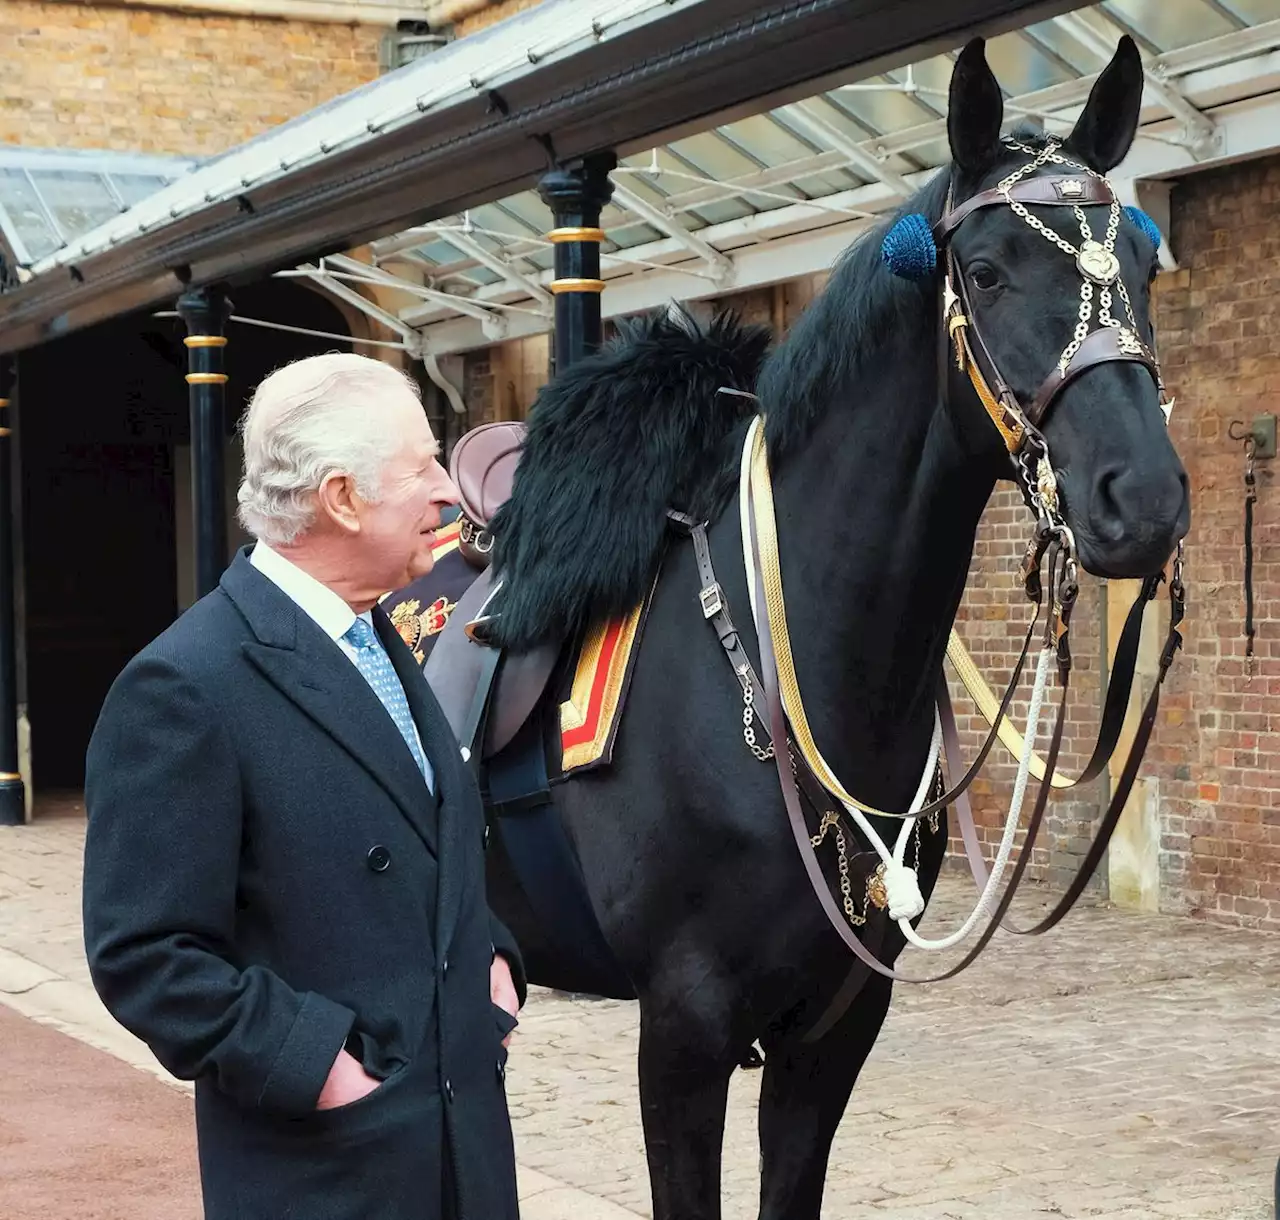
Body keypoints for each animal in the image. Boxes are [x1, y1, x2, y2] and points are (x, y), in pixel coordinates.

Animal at [478, 35, 1187, 1218]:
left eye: (1141, 264)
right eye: (986, 271)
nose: (1142, 500)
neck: (780, 658)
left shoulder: (834, 1030)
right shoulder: (681, 1034)